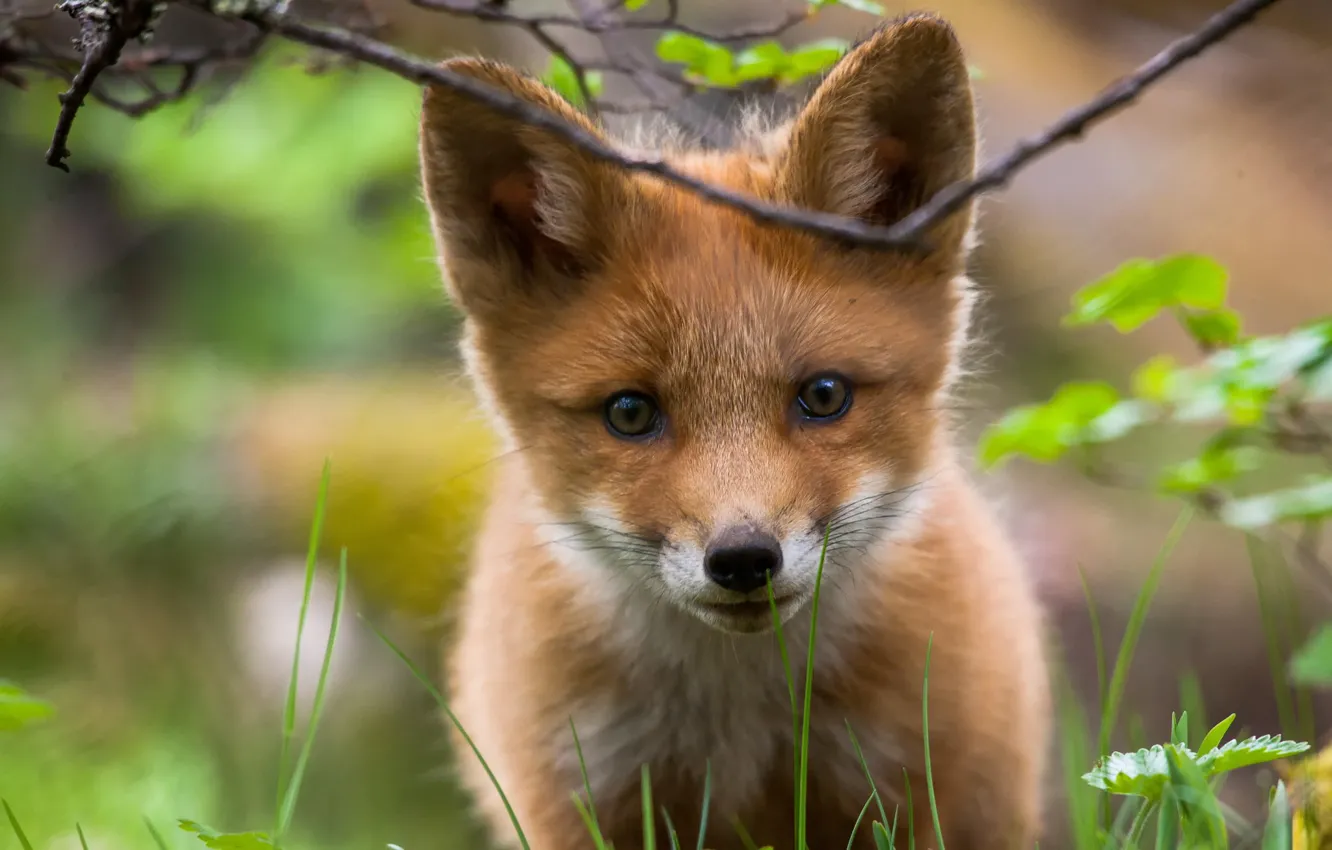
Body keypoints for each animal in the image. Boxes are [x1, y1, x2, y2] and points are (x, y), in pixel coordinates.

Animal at [417, 12, 1050, 850]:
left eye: (823, 396)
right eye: (630, 413)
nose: (744, 559)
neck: (740, 717)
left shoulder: (930, 793)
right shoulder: (579, 801)